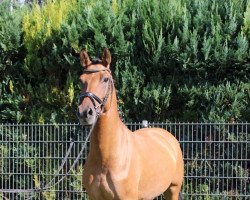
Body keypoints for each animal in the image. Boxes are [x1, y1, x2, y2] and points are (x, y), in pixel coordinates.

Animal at [76, 48, 184, 200]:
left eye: (105, 79)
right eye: (81, 80)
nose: (85, 113)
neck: (106, 158)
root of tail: (167, 137)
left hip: (172, 189)